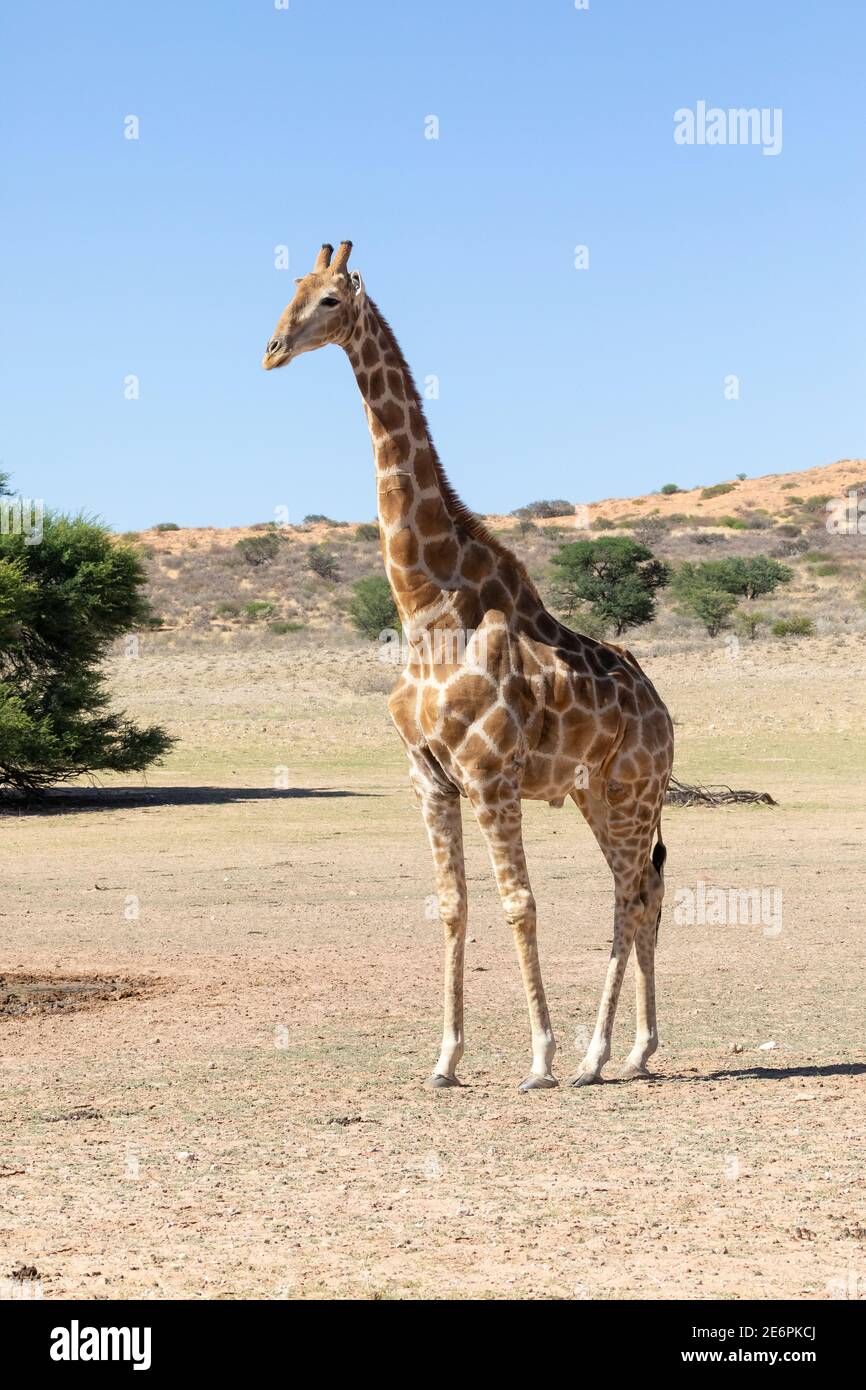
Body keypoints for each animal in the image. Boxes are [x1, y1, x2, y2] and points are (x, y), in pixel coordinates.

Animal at [264, 244, 678, 1089]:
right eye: (287, 290)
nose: (272, 349)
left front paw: (540, 1058)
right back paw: (629, 1053)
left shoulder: (489, 772)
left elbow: (519, 901)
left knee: (632, 892)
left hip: (633, 788)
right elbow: (453, 903)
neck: (424, 602)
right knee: (640, 890)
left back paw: (595, 1056)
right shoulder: (428, 776)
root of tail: (666, 713)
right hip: (594, 792)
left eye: (328, 300)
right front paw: (445, 1059)